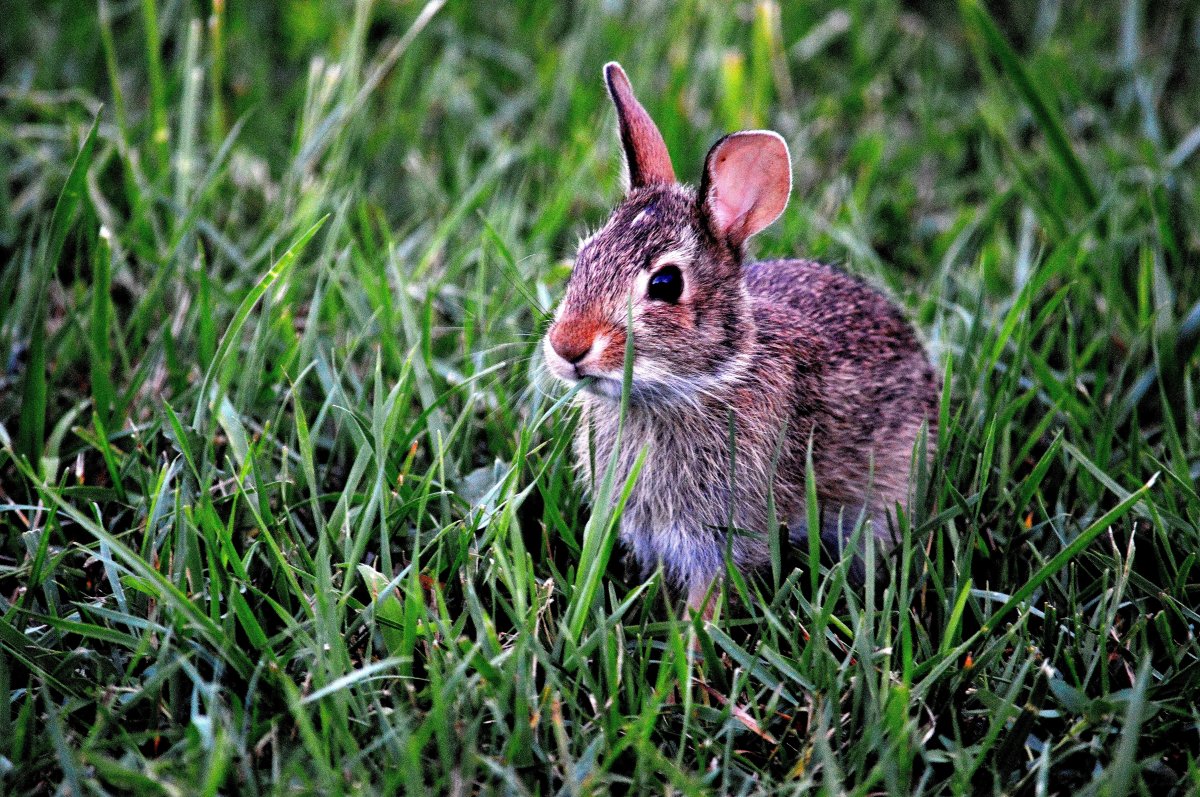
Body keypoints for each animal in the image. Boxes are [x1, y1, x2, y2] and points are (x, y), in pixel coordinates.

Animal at [540, 63, 940, 614]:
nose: (567, 347)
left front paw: (692, 636)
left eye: (665, 284)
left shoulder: (725, 536)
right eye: (582, 257)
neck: (707, 380)